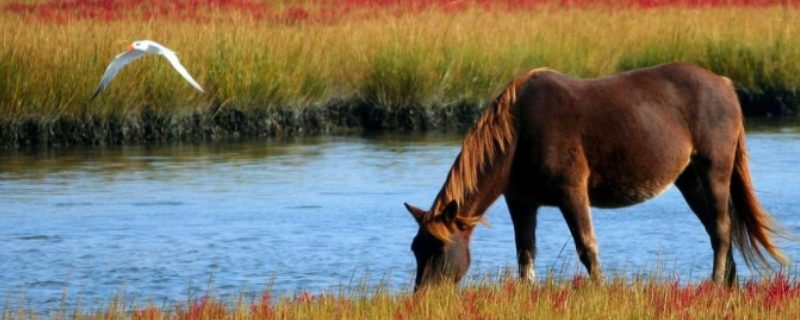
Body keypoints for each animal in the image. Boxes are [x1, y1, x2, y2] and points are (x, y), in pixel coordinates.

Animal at [406, 62, 788, 290]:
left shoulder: (572, 191)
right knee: (715, 229)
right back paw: (728, 285)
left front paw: (599, 290)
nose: (423, 296)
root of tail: (724, 84)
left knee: (722, 228)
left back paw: (715, 284)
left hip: (714, 169)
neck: (518, 133)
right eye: (415, 248)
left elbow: (587, 247)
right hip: (690, 179)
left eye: (439, 249)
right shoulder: (521, 201)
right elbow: (525, 253)